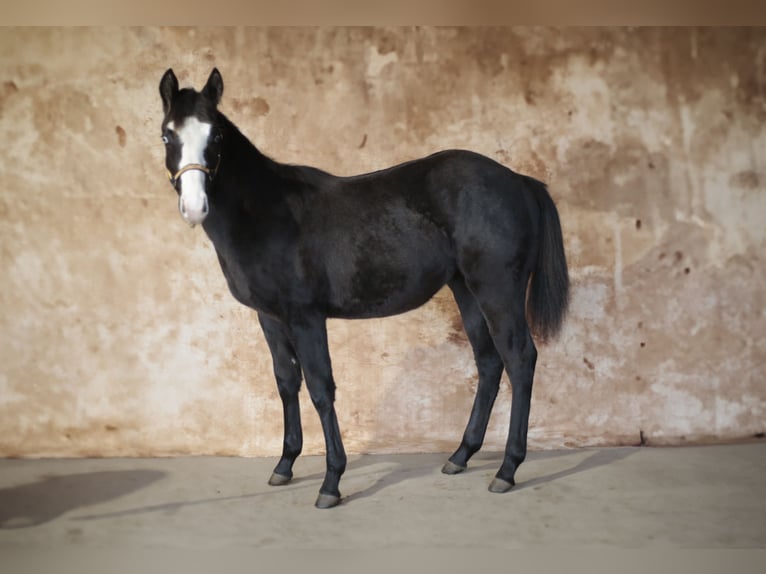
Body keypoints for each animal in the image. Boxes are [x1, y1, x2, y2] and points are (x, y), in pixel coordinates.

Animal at [158, 68, 569, 508]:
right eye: (167, 134)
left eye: (216, 135)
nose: (195, 206)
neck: (267, 212)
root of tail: (519, 182)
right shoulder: (270, 318)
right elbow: (286, 383)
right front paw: (284, 465)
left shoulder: (306, 317)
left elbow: (321, 388)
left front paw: (331, 482)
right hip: (467, 291)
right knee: (490, 362)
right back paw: (460, 455)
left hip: (498, 292)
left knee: (520, 360)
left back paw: (507, 469)